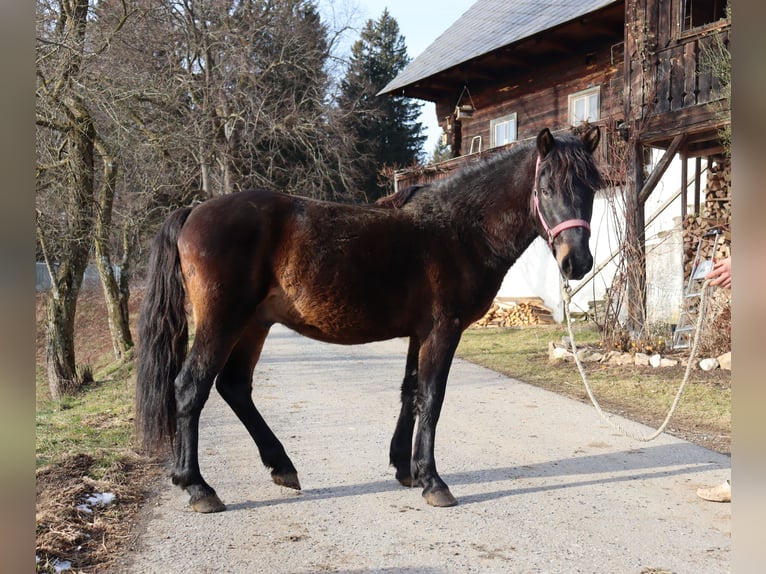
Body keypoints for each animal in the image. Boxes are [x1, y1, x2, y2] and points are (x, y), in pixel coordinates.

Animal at [138, 126, 608, 512]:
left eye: (591, 188)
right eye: (546, 187)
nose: (577, 262)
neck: (458, 229)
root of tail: (194, 212)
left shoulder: (420, 333)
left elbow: (410, 392)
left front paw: (405, 468)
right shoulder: (443, 330)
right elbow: (432, 398)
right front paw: (433, 481)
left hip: (254, 324)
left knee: (234, 387)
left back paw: (281, 466)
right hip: (223, 322)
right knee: (190, 388)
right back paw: (198, 487)